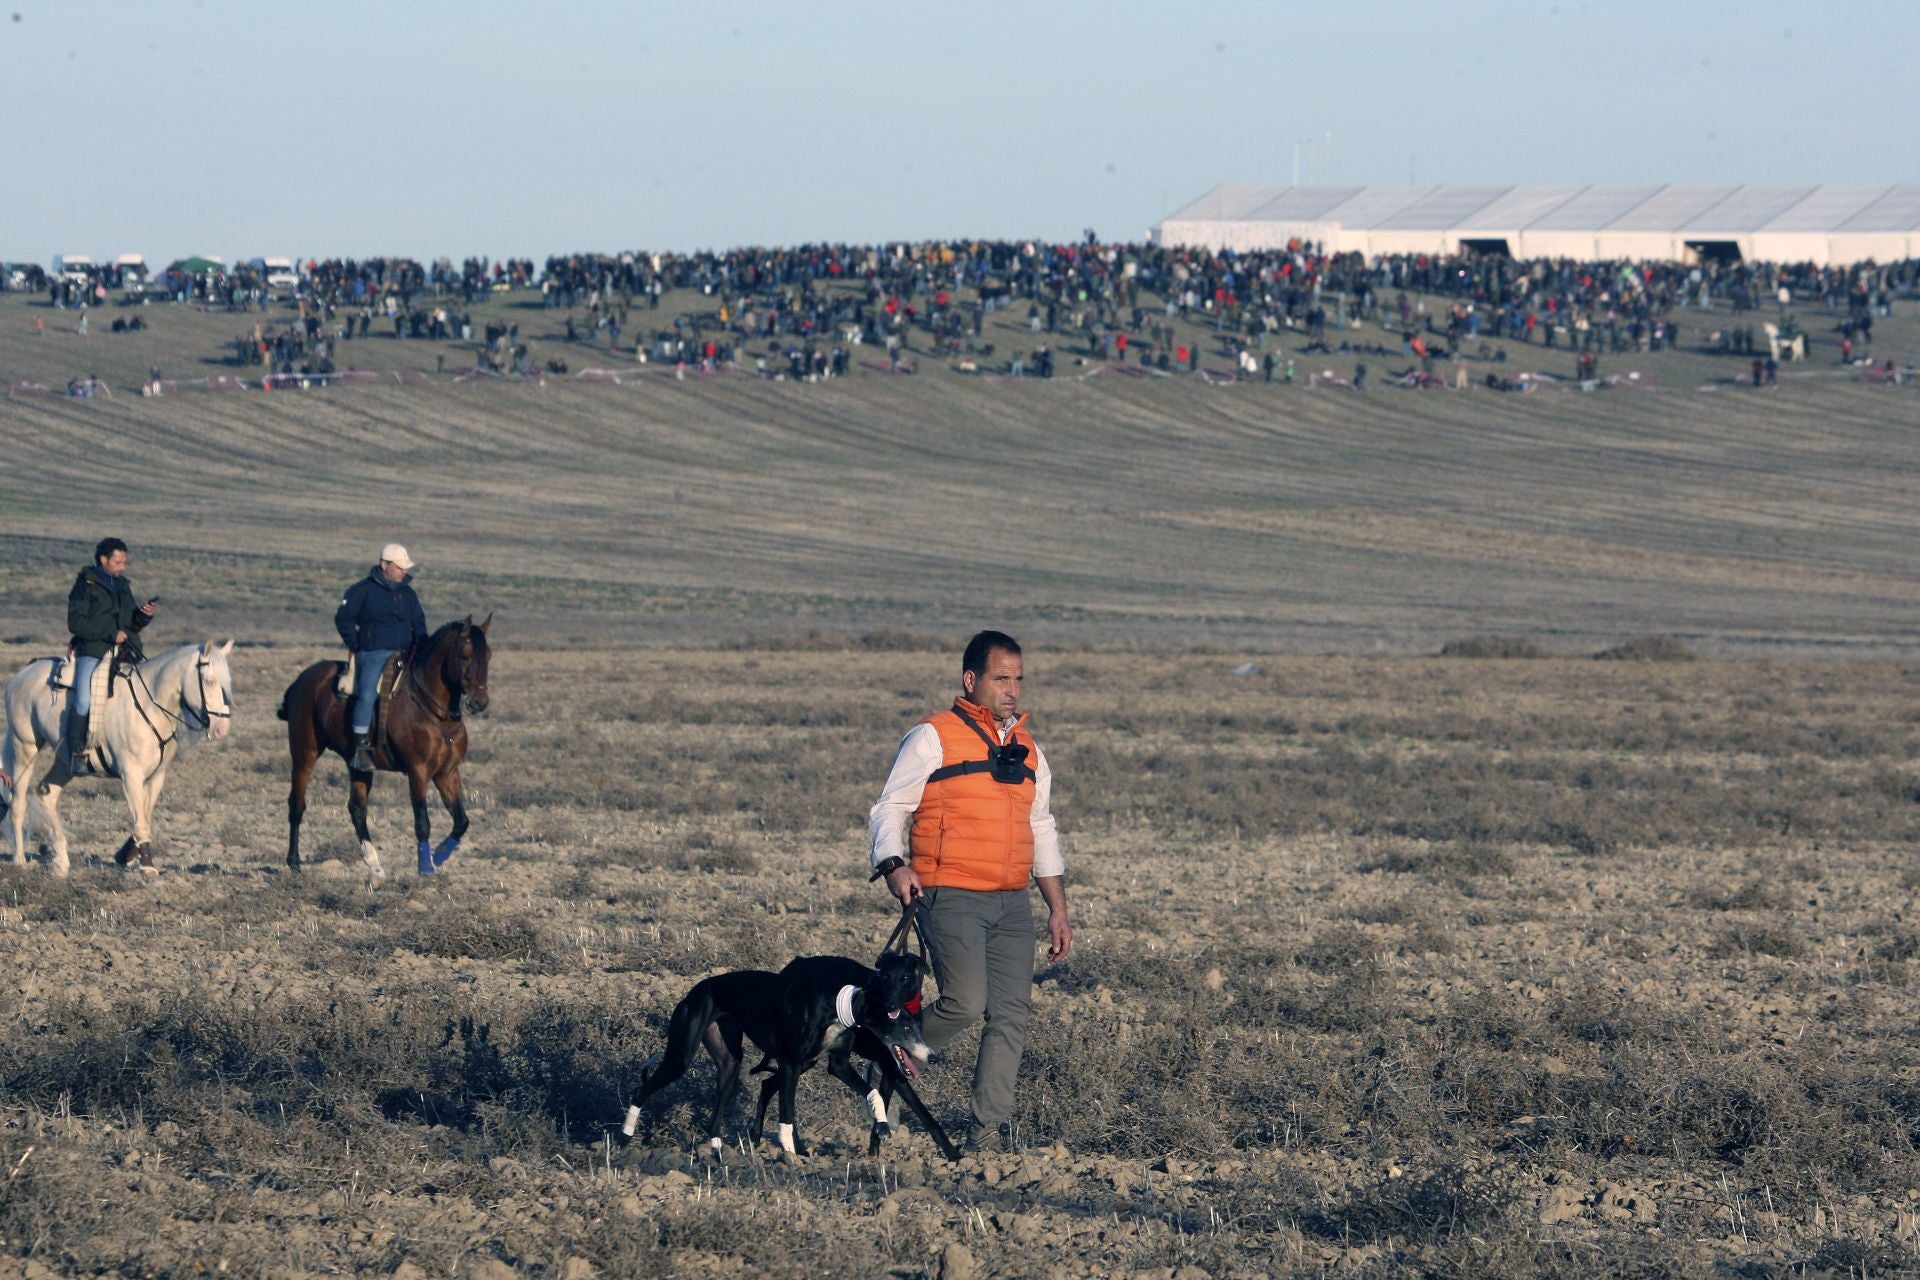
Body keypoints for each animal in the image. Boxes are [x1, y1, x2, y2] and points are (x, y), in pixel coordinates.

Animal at [2, 644, 234, 875]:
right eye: (209, 680)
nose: (221, 729)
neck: (149, 705)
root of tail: (22, 674)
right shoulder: (130, 775)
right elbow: (140, 821)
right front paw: (147, 866)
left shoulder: (156, 776)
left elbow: (145, 817)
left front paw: (125, 855)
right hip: (25, 747)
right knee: (18, 803)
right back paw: (20, 859)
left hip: (64, 762)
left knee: (47, 794)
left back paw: (61, 862)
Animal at [278, 614, 491, 875]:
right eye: (465, 655)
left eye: (488, 655)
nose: (479, 702)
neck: (436, 712)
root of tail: (302, 680)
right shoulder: (418, 771)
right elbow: (422, 822)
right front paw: (425, 868)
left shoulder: (447, 772)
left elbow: (461, 821)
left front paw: (438, 856)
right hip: (304, 752)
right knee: (297, 804)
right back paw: (294, 861)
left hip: (358, 766)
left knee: (357, 809)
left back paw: (375, 865)